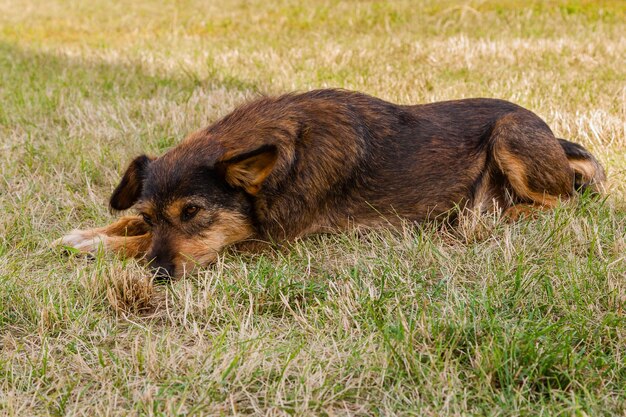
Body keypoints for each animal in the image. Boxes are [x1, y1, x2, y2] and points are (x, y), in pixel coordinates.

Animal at [54, 88, 604, 278]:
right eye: (149, 212)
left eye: (192, 212)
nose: (159, 275)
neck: (282, 161)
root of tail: (557, 141)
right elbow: (131, 231)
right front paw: (92, 234)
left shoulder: (267, 243)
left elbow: (138, 244)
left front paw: (102, 247)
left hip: (510, 132)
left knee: (566, 201)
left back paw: (499, 215)